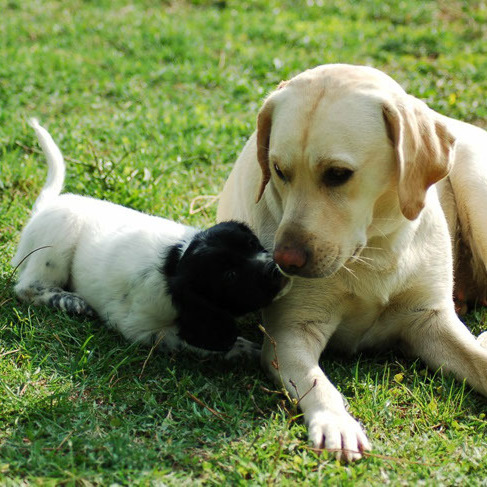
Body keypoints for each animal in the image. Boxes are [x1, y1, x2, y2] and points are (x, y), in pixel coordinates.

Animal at [13, 120, 292, 360]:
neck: (174, 261)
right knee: (28, 287)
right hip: (59, 237)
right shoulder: (139, 328)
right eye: (229, 277)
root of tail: (45, 207)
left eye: (252, 244)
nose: (276, 270)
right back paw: (70, 301)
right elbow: (196, 342)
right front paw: (246, 350)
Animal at [218, 63, 487, 462]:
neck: (374, 251)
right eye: (278, 170)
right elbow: (317, 381)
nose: (282, 262)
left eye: (337, 174)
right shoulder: (289, 335)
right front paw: (336, 422)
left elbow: (479, 361)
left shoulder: (430, 320)